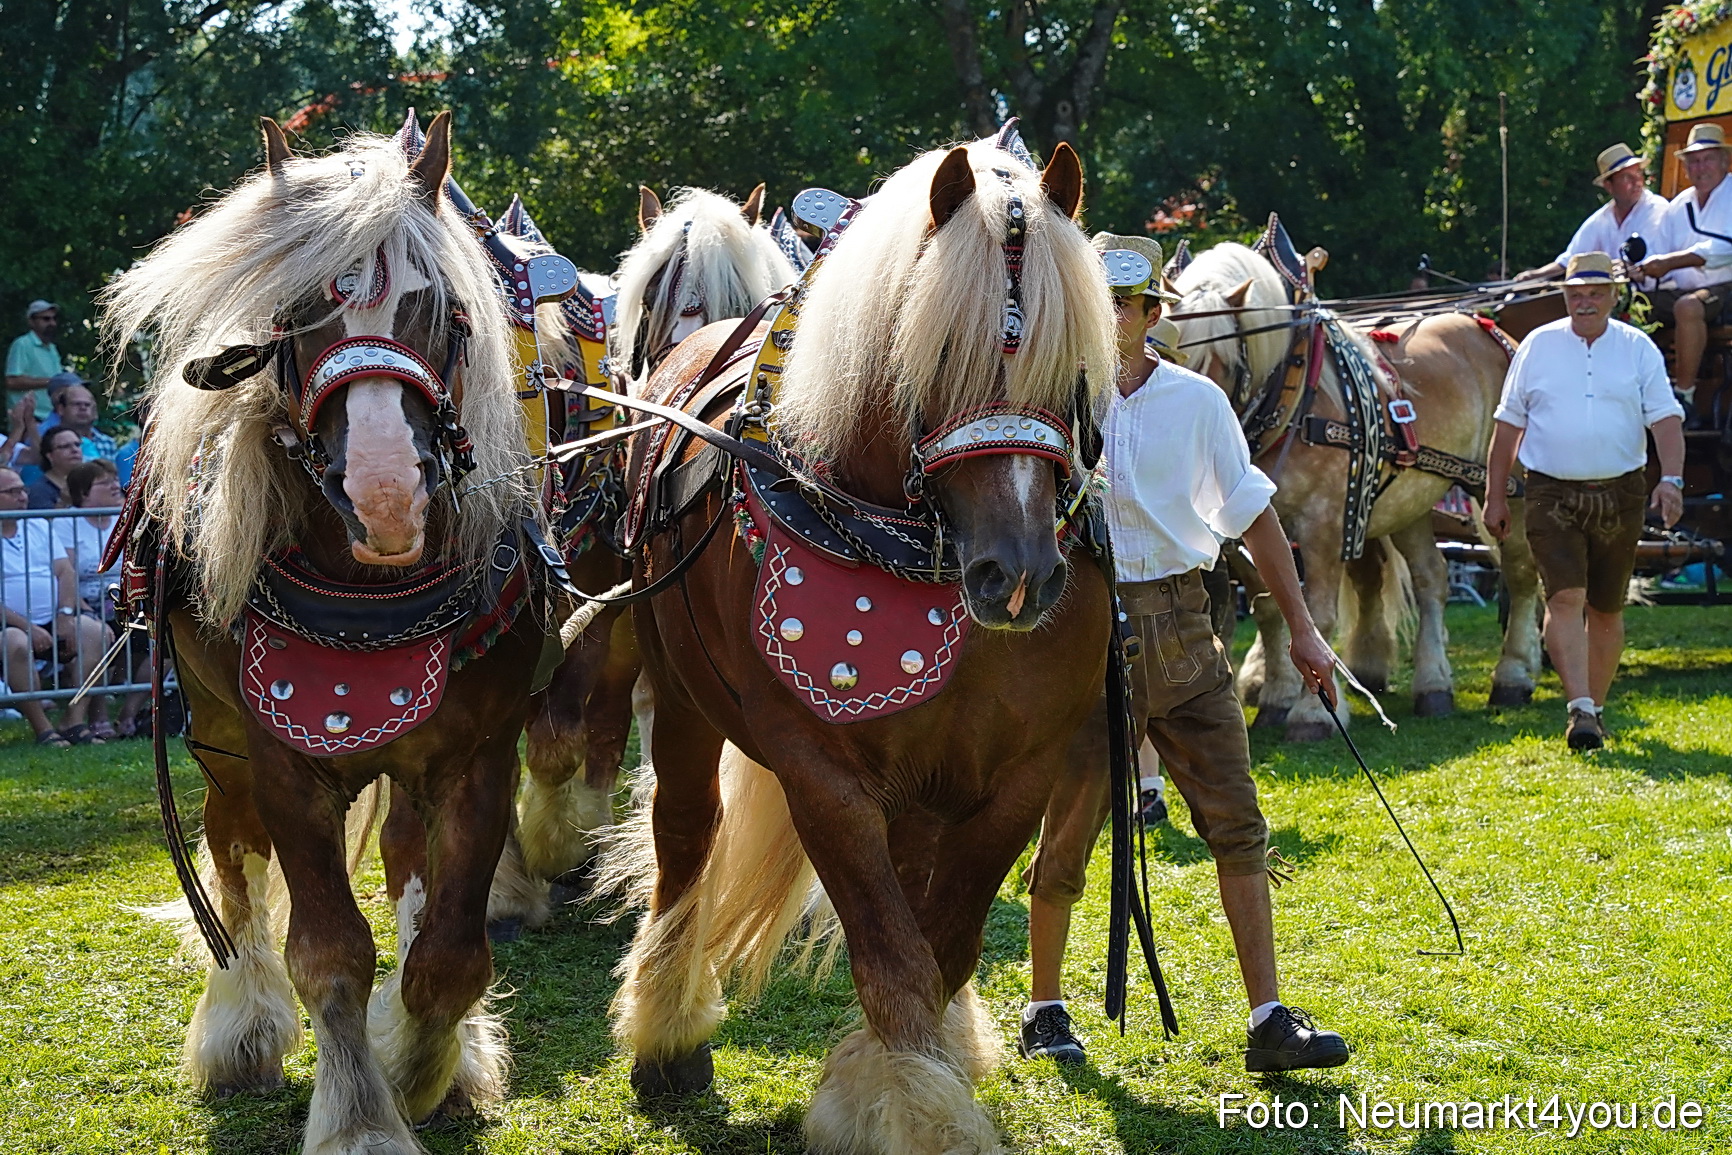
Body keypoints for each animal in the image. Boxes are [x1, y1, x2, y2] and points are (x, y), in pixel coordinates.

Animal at [102, 115, 554, 1152]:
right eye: (296, 313)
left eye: (441, 308)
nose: (385, 492)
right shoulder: (286, 762)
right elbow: (329, 951)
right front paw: (363, 1115)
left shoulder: (475, 756)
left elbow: (449, 953)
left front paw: (425, 1066)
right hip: (219, 739)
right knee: (231, 856)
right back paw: (241, 1025)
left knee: (407, 868)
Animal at [597, 137, 1116, 1153]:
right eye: (941, 351)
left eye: (1068, 361)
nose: (1020, 573)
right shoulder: (822, 775)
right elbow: (892, 955)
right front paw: (915, 1107)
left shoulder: (1019, 775)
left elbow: (942, 943)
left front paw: (902, 1078)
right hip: (680, 702)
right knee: (685, 838)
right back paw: (667, 1032)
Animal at [1172, 243, 1543, 740]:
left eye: (1229, 363)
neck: (1290, 398)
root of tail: (1491, 329)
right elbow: (1273, 607)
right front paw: (1275, 695)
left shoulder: (1323, 525)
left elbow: (1317, 615)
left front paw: (1311, 712)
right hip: (1411, 499)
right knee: (1431, 579)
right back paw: (1433, 685)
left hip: (1502, 490)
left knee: (1521, 572)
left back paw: (1513, 675)